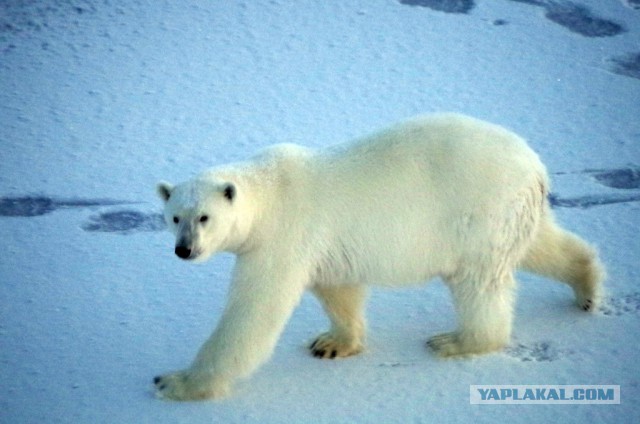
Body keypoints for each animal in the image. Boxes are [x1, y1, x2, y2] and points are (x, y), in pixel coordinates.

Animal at [152, 113, 604, 400]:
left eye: (204, 217)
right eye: (174, 217)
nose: (184, 249)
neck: (269, 194)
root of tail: (535, 165)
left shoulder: (283, 238)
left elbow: (254, 313)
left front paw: (176, 382)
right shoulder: (323, 246)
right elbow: (338, 289)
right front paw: (332, 342)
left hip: (478, 211)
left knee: (478, 283)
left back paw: (456, 341)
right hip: (514, 212)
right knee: (540, 245)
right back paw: (587, 286)